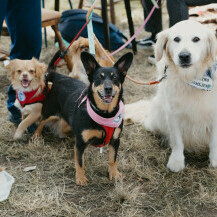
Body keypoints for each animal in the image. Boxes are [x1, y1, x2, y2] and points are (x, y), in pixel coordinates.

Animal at [36, 51, 133, 186]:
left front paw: (114, 174)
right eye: (99, 78)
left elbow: (113, 159)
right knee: (41, 122)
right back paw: (36, 137)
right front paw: (80, 178)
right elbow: (80, 161)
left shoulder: (115, 140)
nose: (108, 89)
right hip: (49, 111)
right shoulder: (80, 143)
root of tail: (59, 77)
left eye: (115, 78)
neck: (105, 113)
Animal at [130, 20, 216, 172]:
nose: (184, 56)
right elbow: (177, 141)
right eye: (176, 39)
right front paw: (176, 161)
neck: (191, 79)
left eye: (196, 39)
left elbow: (214, 141)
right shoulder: (173, 113)